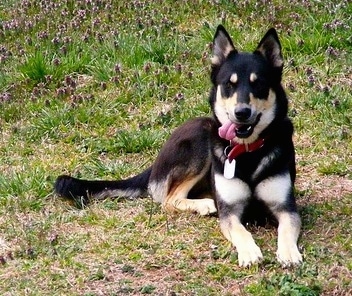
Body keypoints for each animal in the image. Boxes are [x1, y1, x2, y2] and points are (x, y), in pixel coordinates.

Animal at [55, 24, 302, 266]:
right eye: (228, 85)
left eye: (258, 84)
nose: (242, 112)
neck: (248, 151)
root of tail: (155, 165)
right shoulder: (229, 211)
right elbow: (241, 231)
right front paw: (250, 252)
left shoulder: (286, 207)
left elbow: (287, 229)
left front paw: (289, 253)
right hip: (200, 139)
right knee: (168, 199)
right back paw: (203, 204)